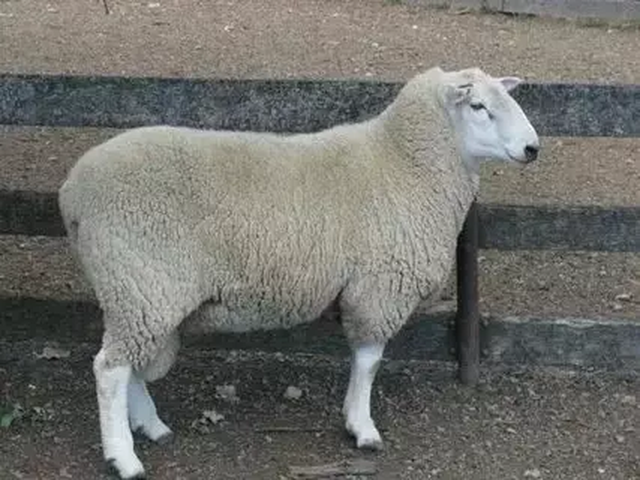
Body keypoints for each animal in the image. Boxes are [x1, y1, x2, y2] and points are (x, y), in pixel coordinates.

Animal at [58, 66, 540, 479]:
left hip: (138, 291)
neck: (403, 162)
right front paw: (362, 428)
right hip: (143, 282)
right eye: (478, 106)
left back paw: (151, 426)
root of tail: (72, 190)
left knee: (130, 364)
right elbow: (369, 363)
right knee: (110, 370)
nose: (533, 148)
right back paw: (124, 457)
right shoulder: (378, 288)